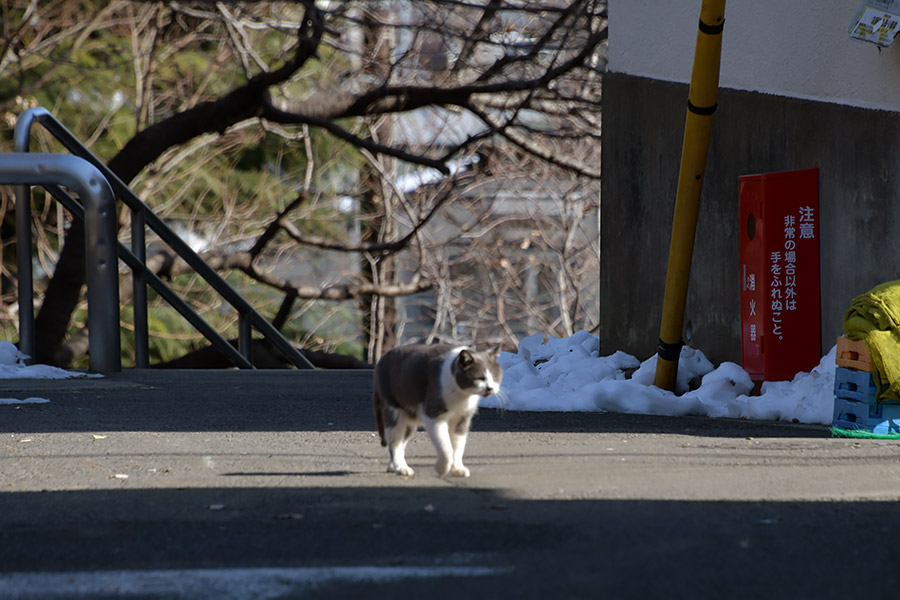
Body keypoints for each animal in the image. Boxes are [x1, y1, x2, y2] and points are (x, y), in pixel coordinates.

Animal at [370, 342, 500, 478]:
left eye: (495, 377)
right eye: (480, 378)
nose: (490, 388)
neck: (462, 397)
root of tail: (382, 359)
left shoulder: (463, 418)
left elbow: (458, 446)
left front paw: (457, 469)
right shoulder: (434, 415)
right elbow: (446, 447)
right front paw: (441, 469)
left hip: (409, 420)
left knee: (401, 442)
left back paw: (393, 467)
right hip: (394, 410)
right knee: (395, 443)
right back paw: (401, 468)